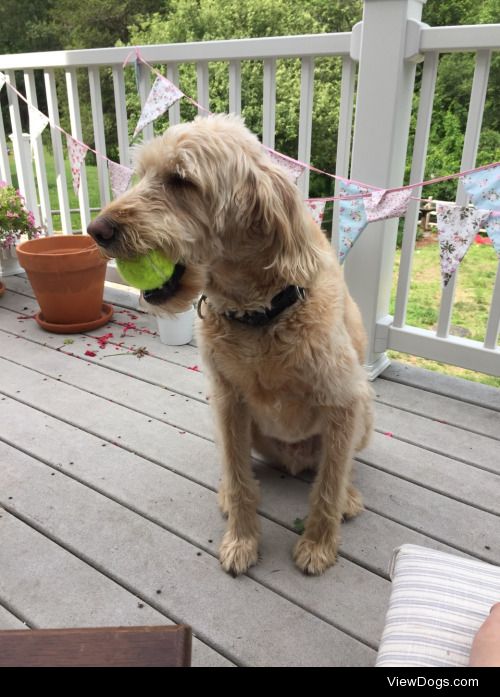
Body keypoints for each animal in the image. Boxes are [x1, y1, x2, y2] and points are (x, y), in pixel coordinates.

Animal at [88, 113, 374, 576]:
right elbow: (240, 478)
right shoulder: (227, 401)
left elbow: (329, 484)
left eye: (181, 180)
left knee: (338, 466)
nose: (96, 230)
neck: (259, 315)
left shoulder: (344, 400)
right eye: (142, 173)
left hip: (364, 414)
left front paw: (318, 545)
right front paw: (242, 540)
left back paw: (347, 495)